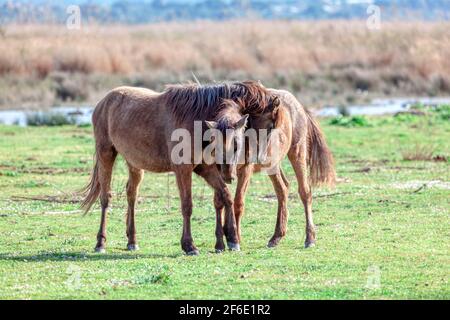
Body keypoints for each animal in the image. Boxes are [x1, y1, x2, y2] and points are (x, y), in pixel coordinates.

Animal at [81, 81, 278, 254]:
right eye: (270, 125)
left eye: (236, 144)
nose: (230, 175)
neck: (194, 118)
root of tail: (103, 101)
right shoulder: (183, 171)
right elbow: (187, 205)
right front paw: (189, 246)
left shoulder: (206, 170)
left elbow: (226, 196)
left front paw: (232, 239)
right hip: (106, 154)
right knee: (105, 197)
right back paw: (100, 243)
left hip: (134, 164)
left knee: (131, 195)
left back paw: (132, 241)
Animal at [223, 89, 336, 249]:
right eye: (249, 123)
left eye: (271, 127)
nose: (257, 155)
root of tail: (298, 104)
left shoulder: (245, 170)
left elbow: (238, 202)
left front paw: (236, 240)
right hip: (273, 165)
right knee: (283, 188)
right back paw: (276, 236)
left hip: (297, 153)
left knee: (305, 192)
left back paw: (310, 238)